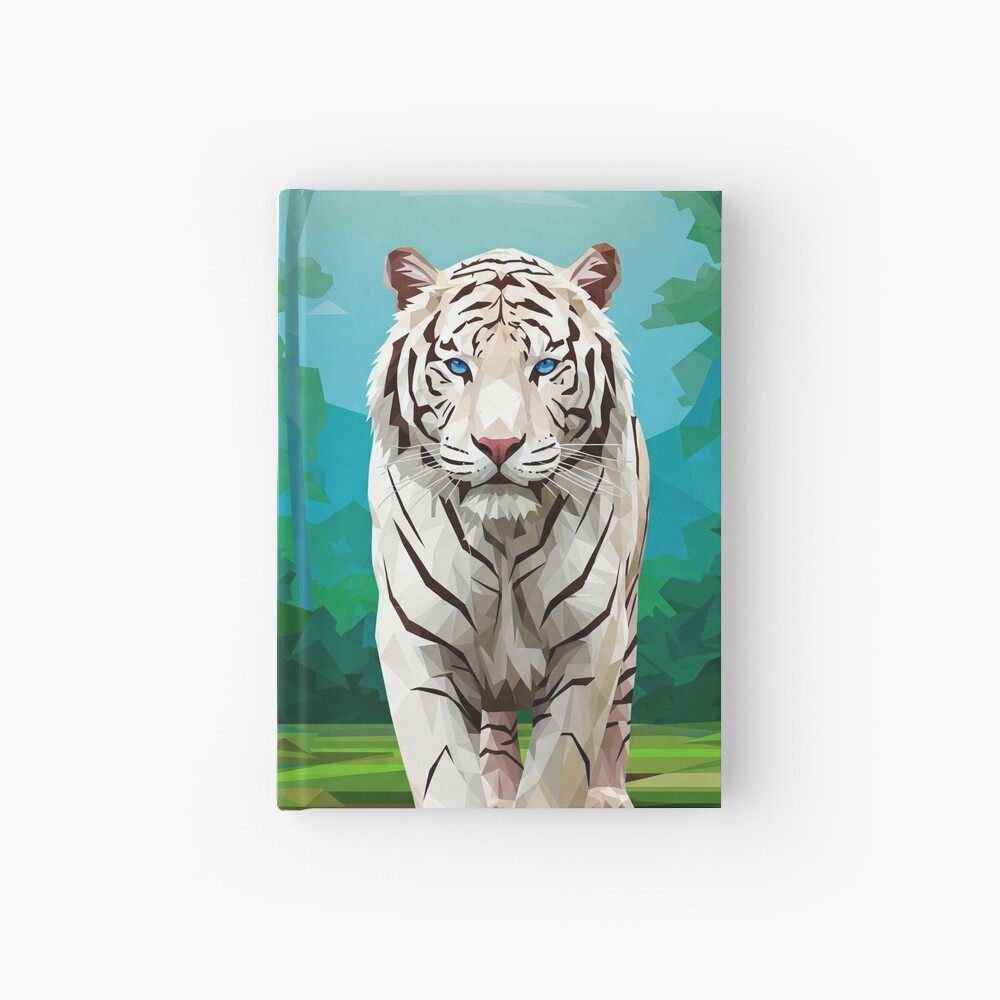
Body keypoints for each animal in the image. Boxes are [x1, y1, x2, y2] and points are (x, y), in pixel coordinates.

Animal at [367, 244, 649, 807]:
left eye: (545, 366)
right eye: (458, 366)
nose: (498, 445)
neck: (502, 535)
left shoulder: (590, 639)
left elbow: (560, 769)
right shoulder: (417, 638)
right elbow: (444, 771)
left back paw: (608, 795)